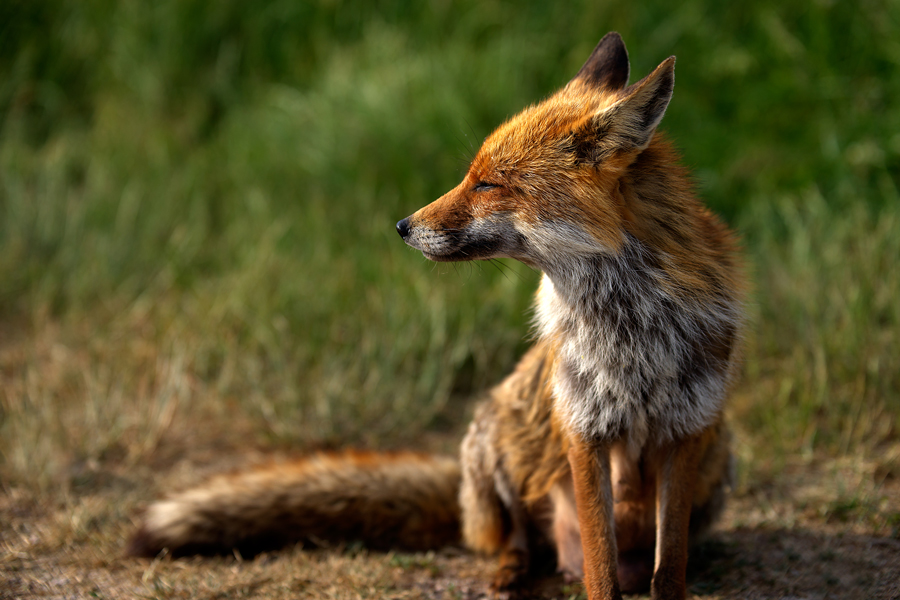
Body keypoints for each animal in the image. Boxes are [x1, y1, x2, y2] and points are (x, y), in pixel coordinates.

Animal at [129, 32, 744, 600]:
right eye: (470, 174)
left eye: (489, 183)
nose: (402, 226)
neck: (631, 329)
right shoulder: (583, 427)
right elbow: (599, 569)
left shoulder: (686, 429)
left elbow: (669, 566)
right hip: (492, 444)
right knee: (517, 540)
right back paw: (511, 573)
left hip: (718, 453)